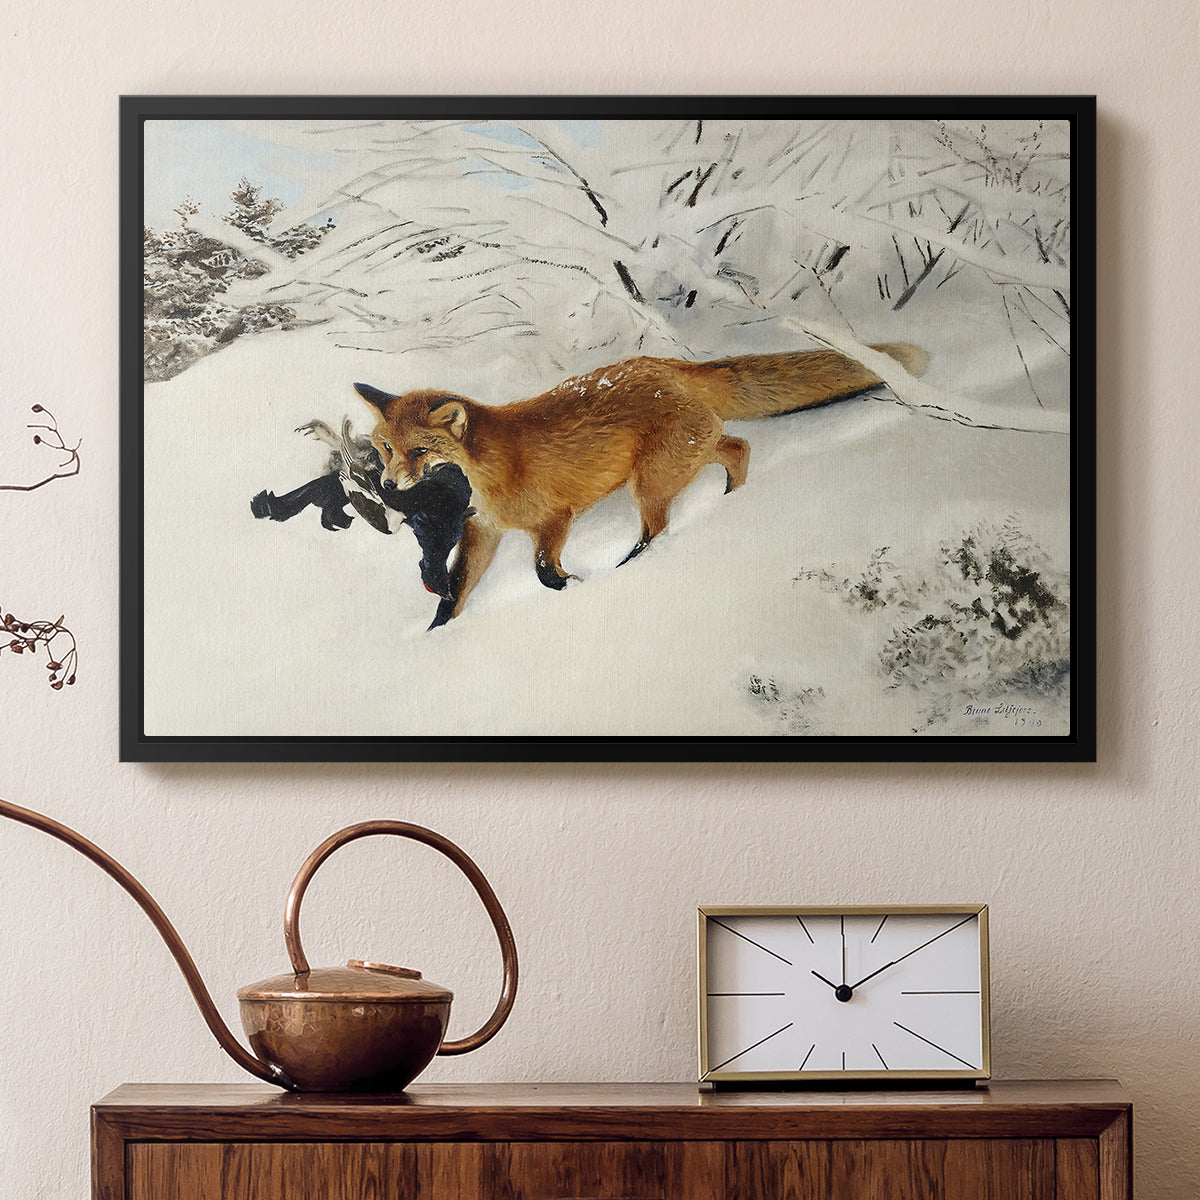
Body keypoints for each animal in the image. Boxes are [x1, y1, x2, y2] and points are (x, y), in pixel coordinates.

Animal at [355, 342, 929, 627]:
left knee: (659, 527)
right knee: (738, 447)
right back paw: (731, 500)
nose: (388, 483)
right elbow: (454, 593)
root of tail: (666, 364)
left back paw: (634, 564)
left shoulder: (554, 518)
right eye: (385, 448)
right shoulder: (483, 532)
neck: (489, 472)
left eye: (419, 452)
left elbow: (543, 572)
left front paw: (575, 586)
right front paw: (437, 636)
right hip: (682, 459)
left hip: (650, 482)